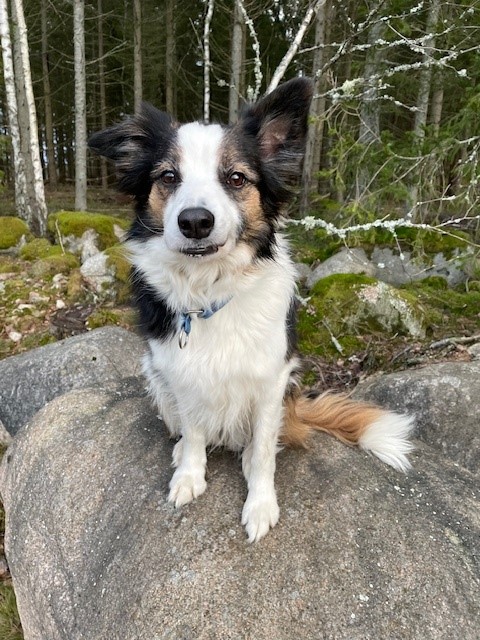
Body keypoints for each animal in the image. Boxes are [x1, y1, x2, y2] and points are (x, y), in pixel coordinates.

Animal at [89, 77, 414, 542]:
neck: (210, 292)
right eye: (168, 176)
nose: (195, 222)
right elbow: (193, 432)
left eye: (236, 177)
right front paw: (189, 476)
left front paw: (260, 505)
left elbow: (262, 451)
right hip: (155, 376)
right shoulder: (182, 375)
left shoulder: (271, 379)